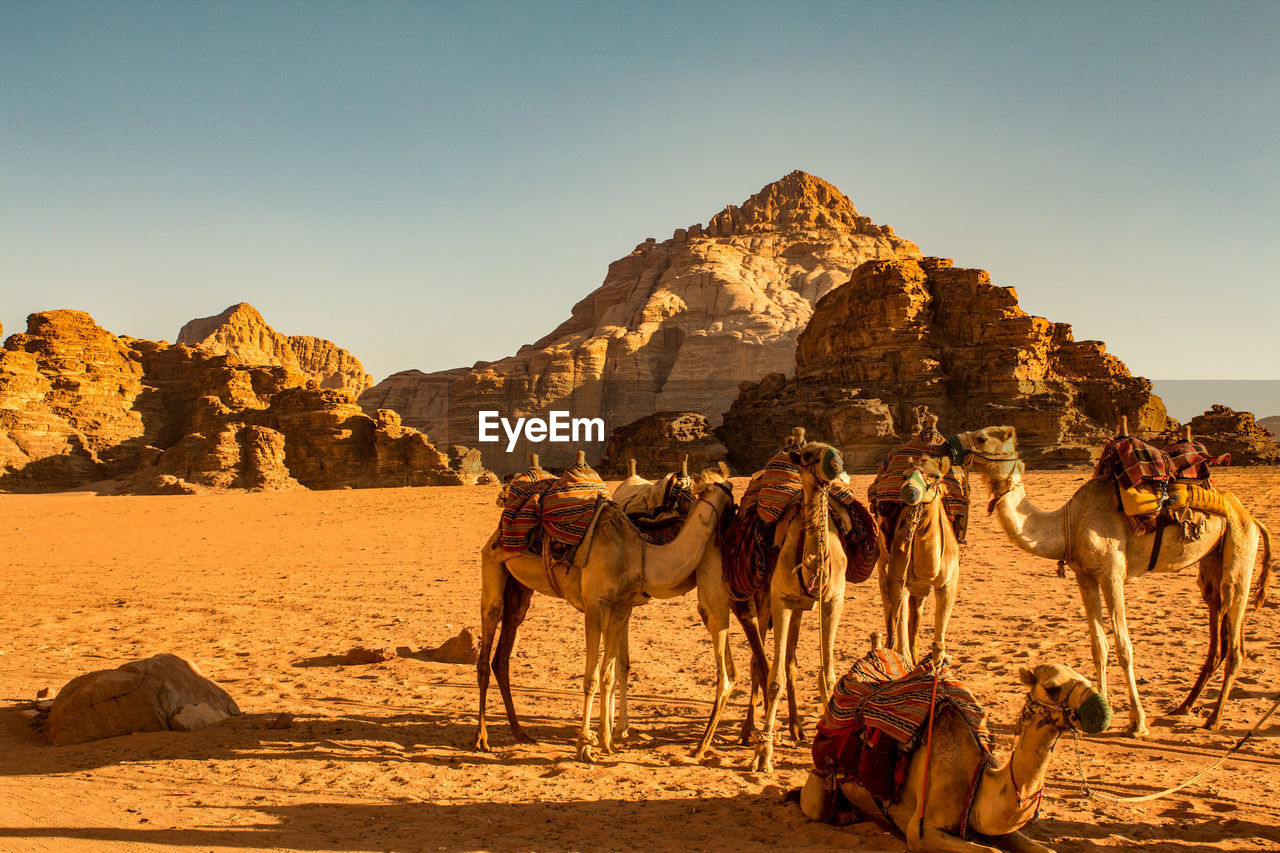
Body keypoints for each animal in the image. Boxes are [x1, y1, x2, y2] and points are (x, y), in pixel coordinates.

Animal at [473, 458, 737, 758]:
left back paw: (520, 732)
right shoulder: (594, 606)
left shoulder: (621, 605)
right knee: (487, 644)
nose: (734, 529)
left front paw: (606, 740)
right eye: (730, 500)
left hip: (519, 588)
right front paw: (584, 745)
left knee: (503, 652)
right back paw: (482, 738)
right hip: (492, 562)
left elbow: (610, 673)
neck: (638, 552)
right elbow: (590, 677)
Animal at [747, 438, 849, 768]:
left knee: (790, 660)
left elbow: (827, 675)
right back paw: (748, 730)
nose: (837, 463)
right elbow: (774, 679)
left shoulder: (833, 601)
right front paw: (763, 753)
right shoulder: (780, 601)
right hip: (764, 601)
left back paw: (795, 728)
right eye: (807, 456)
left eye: (833, 448)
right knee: (757, 662)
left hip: (802, 610)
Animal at [798, 655, 1111, 850]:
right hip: (819, 788)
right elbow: (989, 852)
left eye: (1084, 677)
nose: (1101, 711)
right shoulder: (921, 832)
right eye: (1052, 688)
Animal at [880, 450, 962, 666]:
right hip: (882, 563)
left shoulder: (948, 584)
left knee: (915, 615)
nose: (909, 491)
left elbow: (938, 641)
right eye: (903, 475)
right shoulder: (900, 581)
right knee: (889, 608)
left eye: (935, 476)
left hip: (921, 588)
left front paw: (936, 664)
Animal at [962, 425, 1269, 732]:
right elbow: (1098, 645)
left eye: (981, 437)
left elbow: (1123, 646)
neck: (1069, 522)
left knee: (1235, 639)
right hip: (1212, 563)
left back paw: (1213, 719)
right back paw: (1183, 707)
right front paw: (1103, 710)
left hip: (1240, 549)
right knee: (1218, 629)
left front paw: (1138, 722)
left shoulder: (1112, 574)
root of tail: (1252, 518)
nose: (952, 443)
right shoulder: (1085, 576)